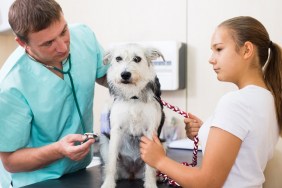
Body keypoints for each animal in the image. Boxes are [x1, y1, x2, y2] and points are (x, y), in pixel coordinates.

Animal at [100, 43, 165, 187]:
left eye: (137, 59)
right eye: (118, 58)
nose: (125, 74)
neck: (133, 96)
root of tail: (132, 174)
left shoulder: (150, 131)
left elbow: (150, 166)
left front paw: (151, 184)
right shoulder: (116, 130)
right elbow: (111, 163)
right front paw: (108, 183)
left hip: (163, 145)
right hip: (105, 143)